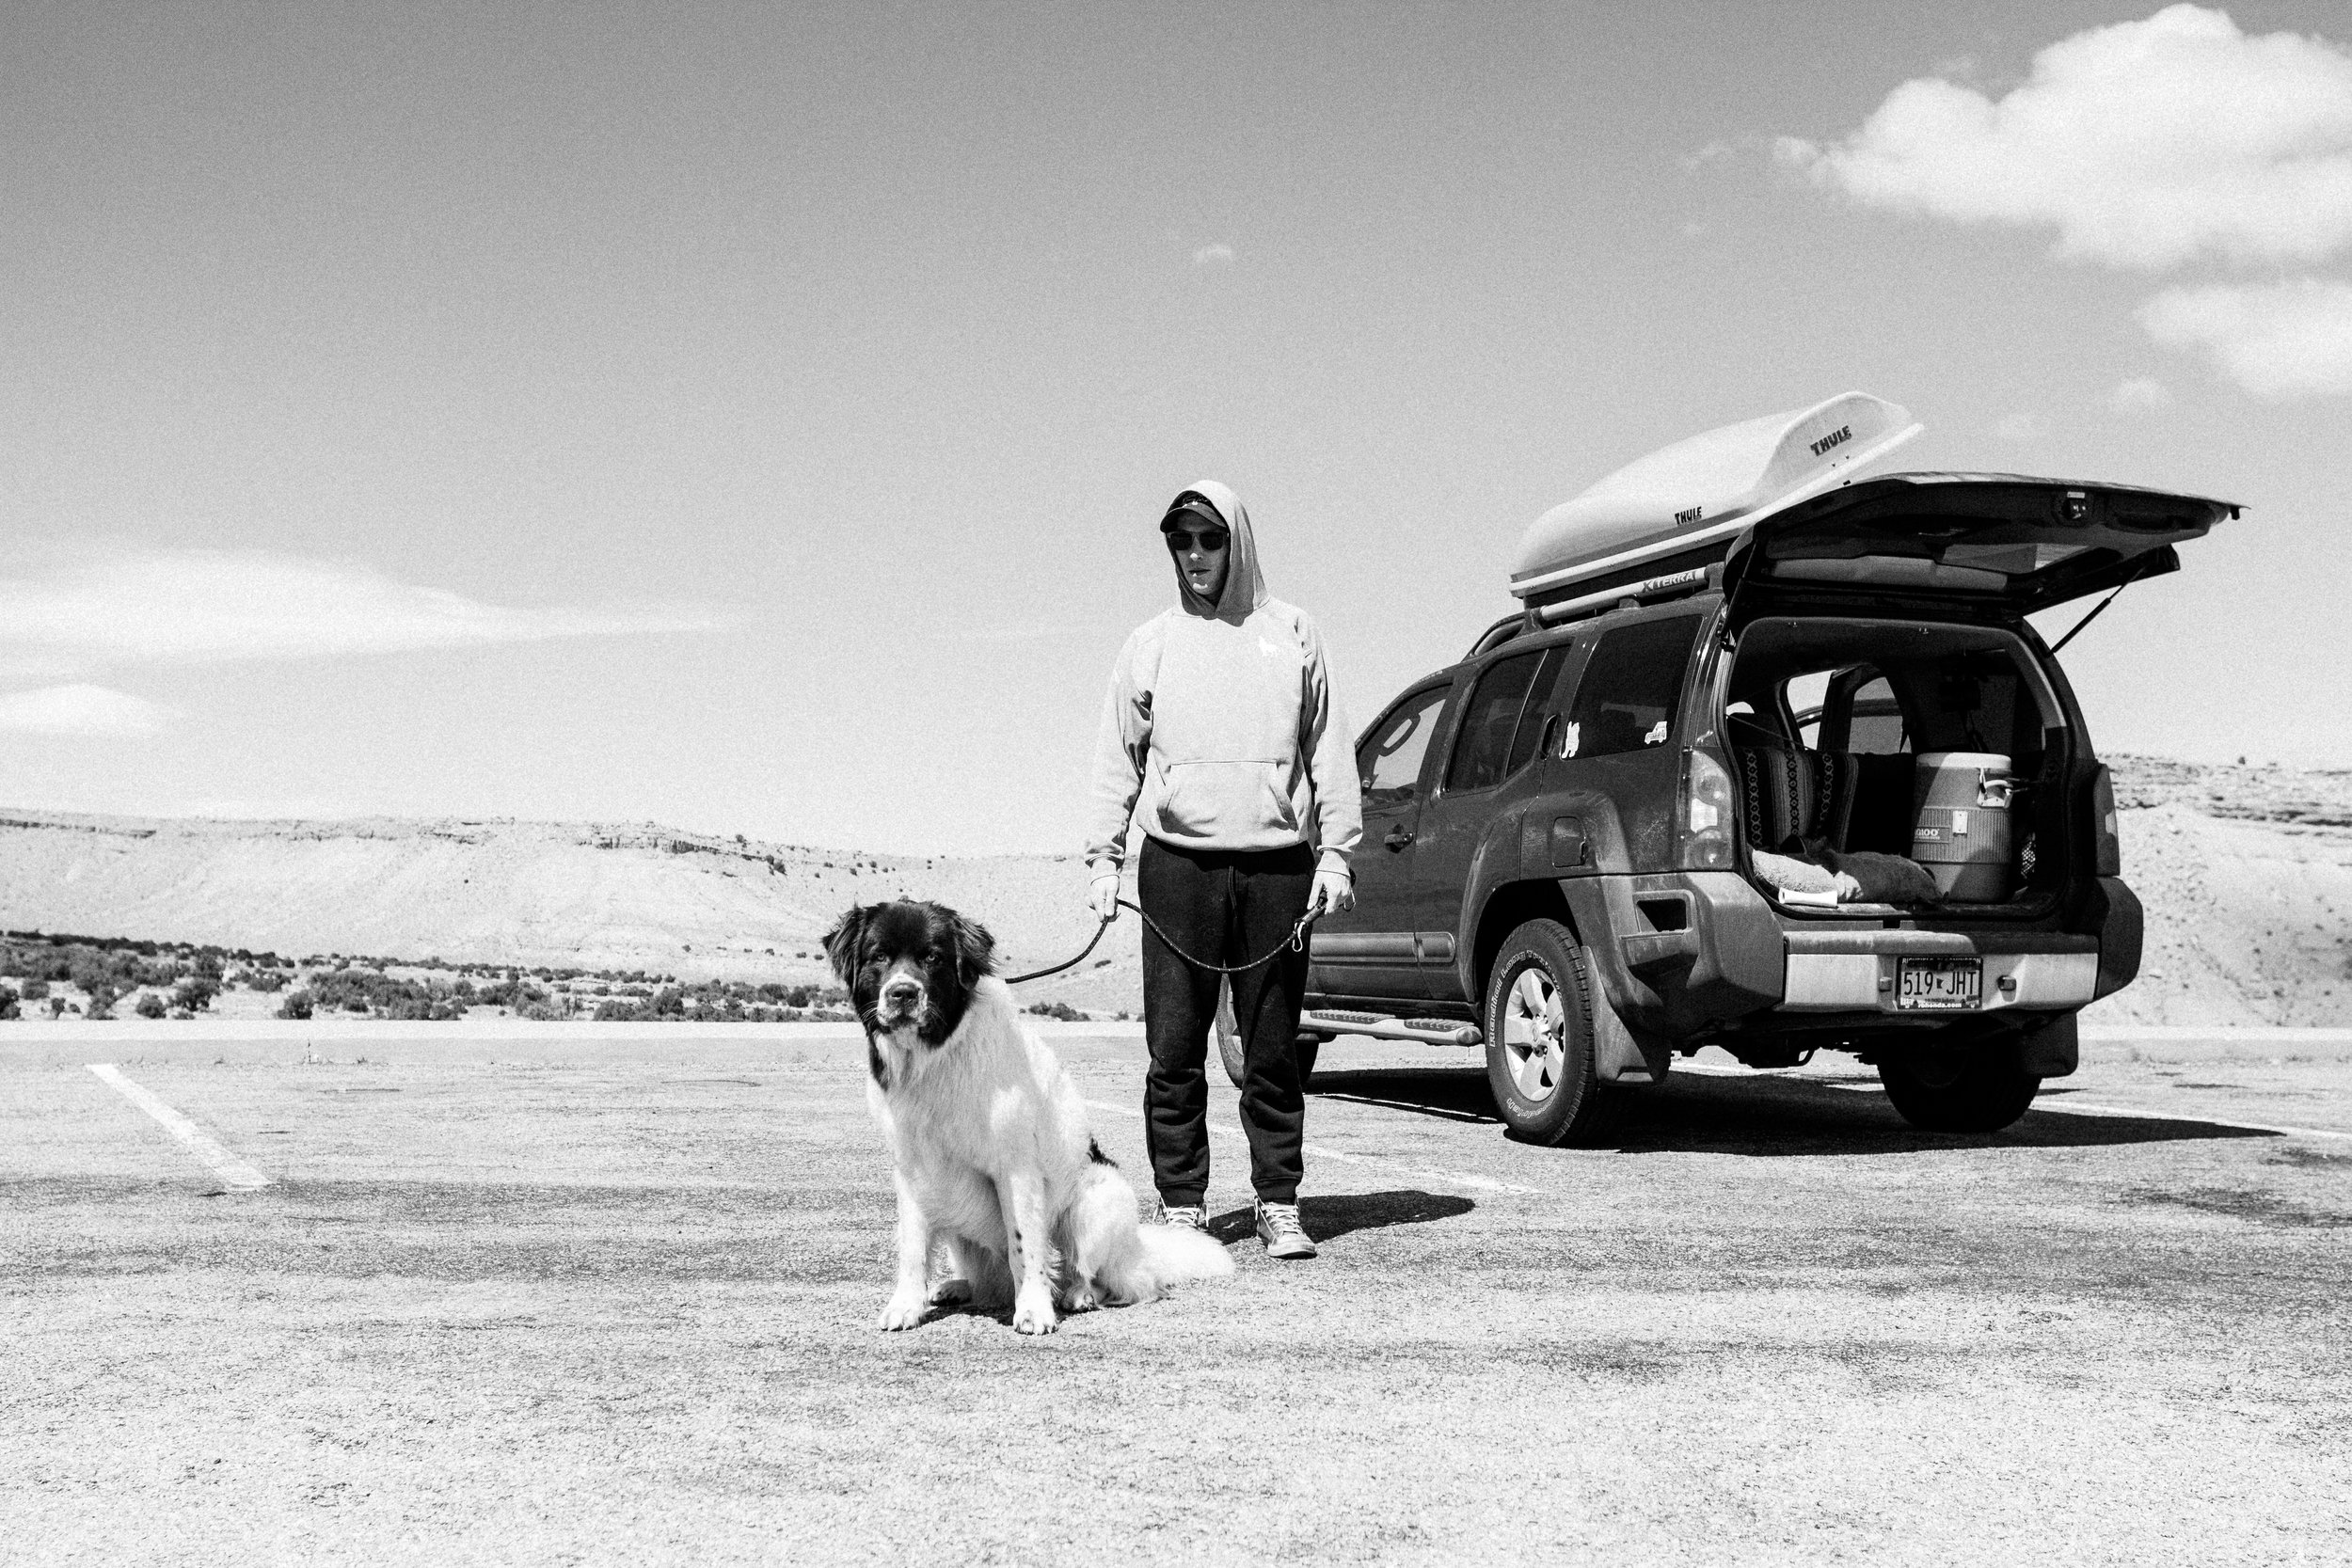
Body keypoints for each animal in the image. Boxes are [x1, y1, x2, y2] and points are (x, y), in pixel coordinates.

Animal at [823, 902, 1232, 1335]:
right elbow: (912, 1247)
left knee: (1106, 1279)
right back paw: (958, 1286)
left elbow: (1025, 1246)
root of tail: (1139, 1250)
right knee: (987, 1278)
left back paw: (1078, 1295)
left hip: (1095, 1200)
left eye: (932, 958)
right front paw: (905, 1306)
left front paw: (1035, 1309)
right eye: (879, 957)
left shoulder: (1015, 1169)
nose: (902, 992)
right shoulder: (912, 1170)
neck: (933, 1059)